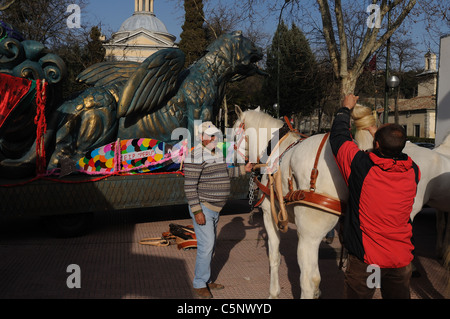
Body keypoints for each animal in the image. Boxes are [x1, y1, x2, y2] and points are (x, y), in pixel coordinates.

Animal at [234, 105, 450, 300]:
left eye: (234, 133)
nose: (236, 162)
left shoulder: (269, 215)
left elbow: (274, 258)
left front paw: (273, 292)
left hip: (308, 233)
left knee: (309, 279)